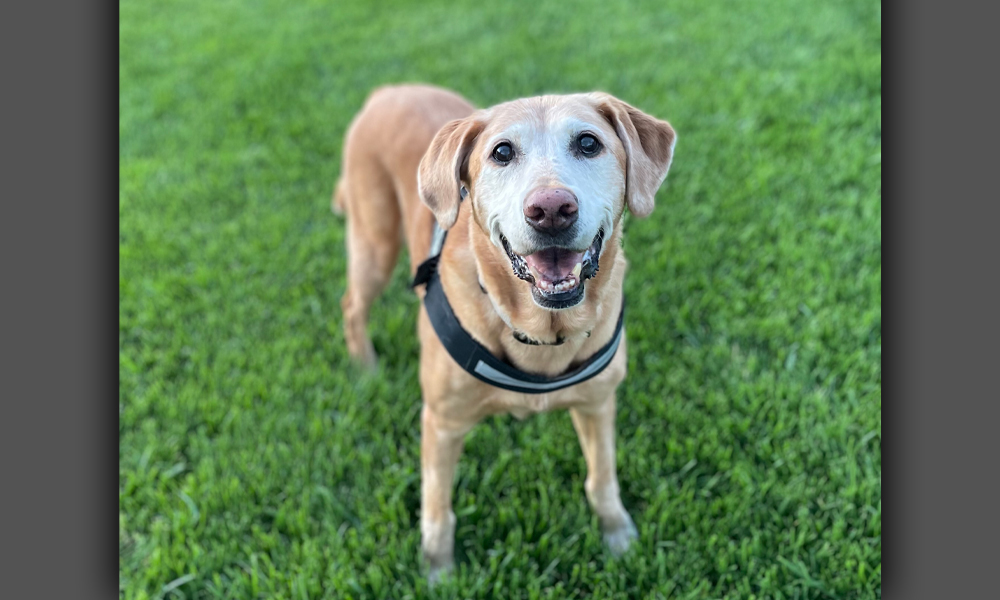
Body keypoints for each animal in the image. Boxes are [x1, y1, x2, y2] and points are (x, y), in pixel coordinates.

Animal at [332, 84, 676, 580]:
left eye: (588, 143)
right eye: (501, 152)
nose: (550, 210)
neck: (539, 332)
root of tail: (388, 91)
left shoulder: (598, 404)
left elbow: (601, 479)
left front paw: (618, 537)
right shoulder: (441, 423)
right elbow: (437, 508)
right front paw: (437, 571)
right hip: (374, 242)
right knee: (352, 305)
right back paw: (366, 368)